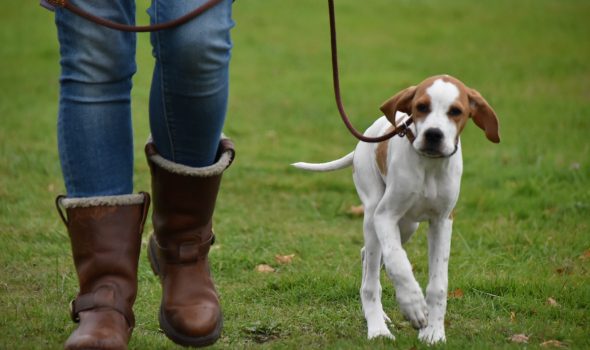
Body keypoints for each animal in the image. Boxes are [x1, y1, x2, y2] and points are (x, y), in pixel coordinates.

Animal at [294, 74, 502, 344]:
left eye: (456, 111)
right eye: (421, 106)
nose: (433, 135)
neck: (429, 166)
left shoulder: (442, 221)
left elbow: (438, 284)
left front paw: (434, 331)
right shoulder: (386, 216)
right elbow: (398, 263)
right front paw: (413, 305)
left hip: (407, 225)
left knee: (366, 256)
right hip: (373, 214)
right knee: (371, 277)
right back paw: (377, 328)